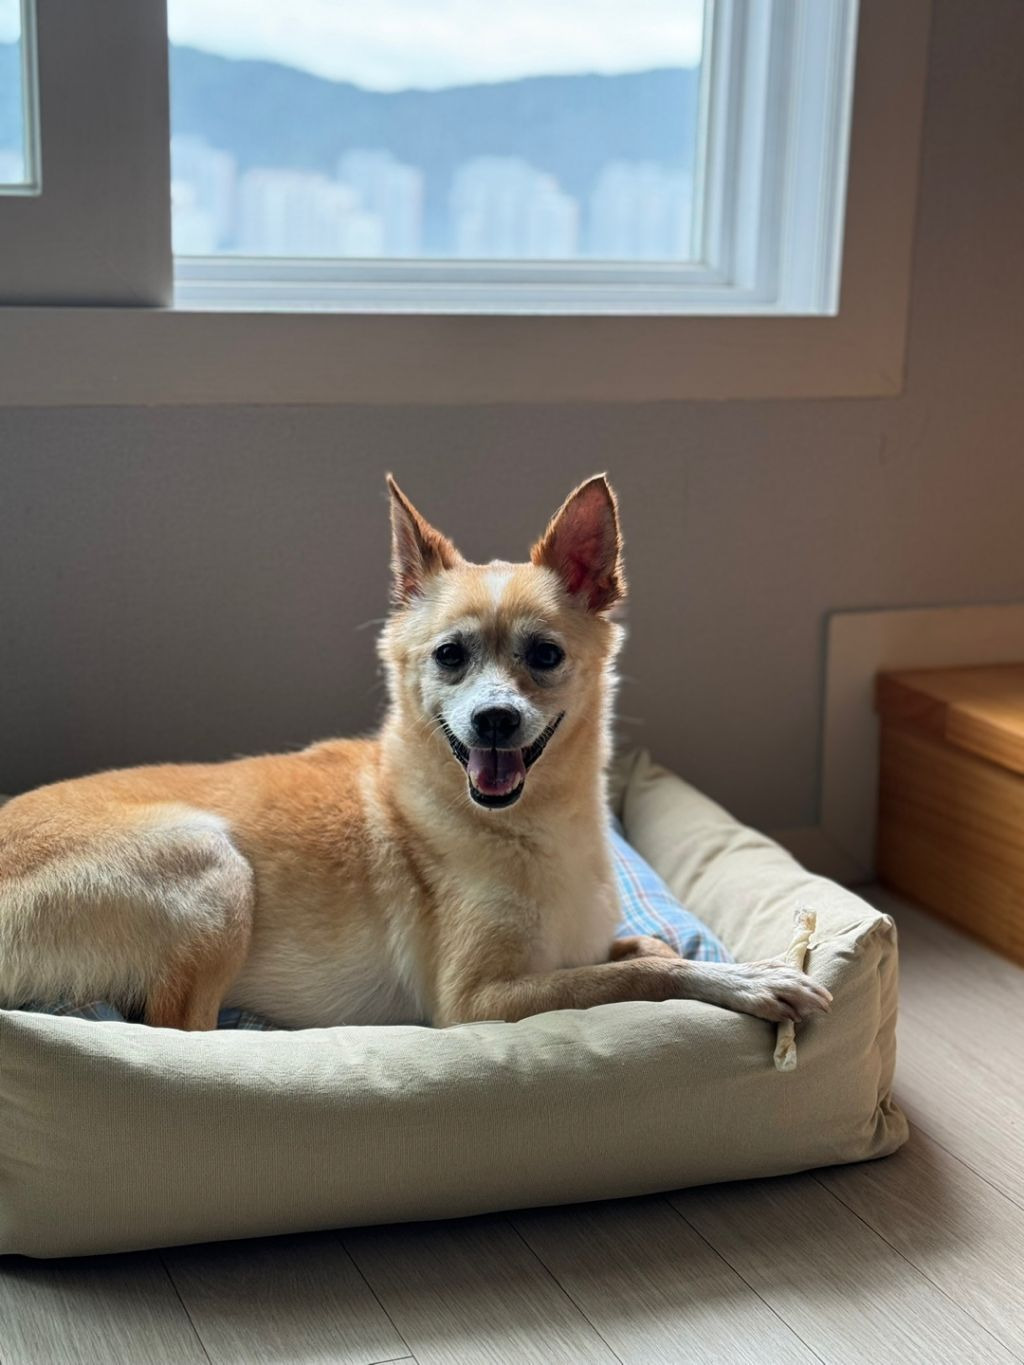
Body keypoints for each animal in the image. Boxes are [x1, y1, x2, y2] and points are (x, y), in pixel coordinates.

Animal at [0, 475, 830, 1032]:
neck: (533, 824)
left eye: (545, 654)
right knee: (177, 1032)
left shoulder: (586, 942)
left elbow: (641, 948)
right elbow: (643, 976)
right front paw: (750, 979)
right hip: (210, 863)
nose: (494, 719)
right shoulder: (475, 1000)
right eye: (450, 656)